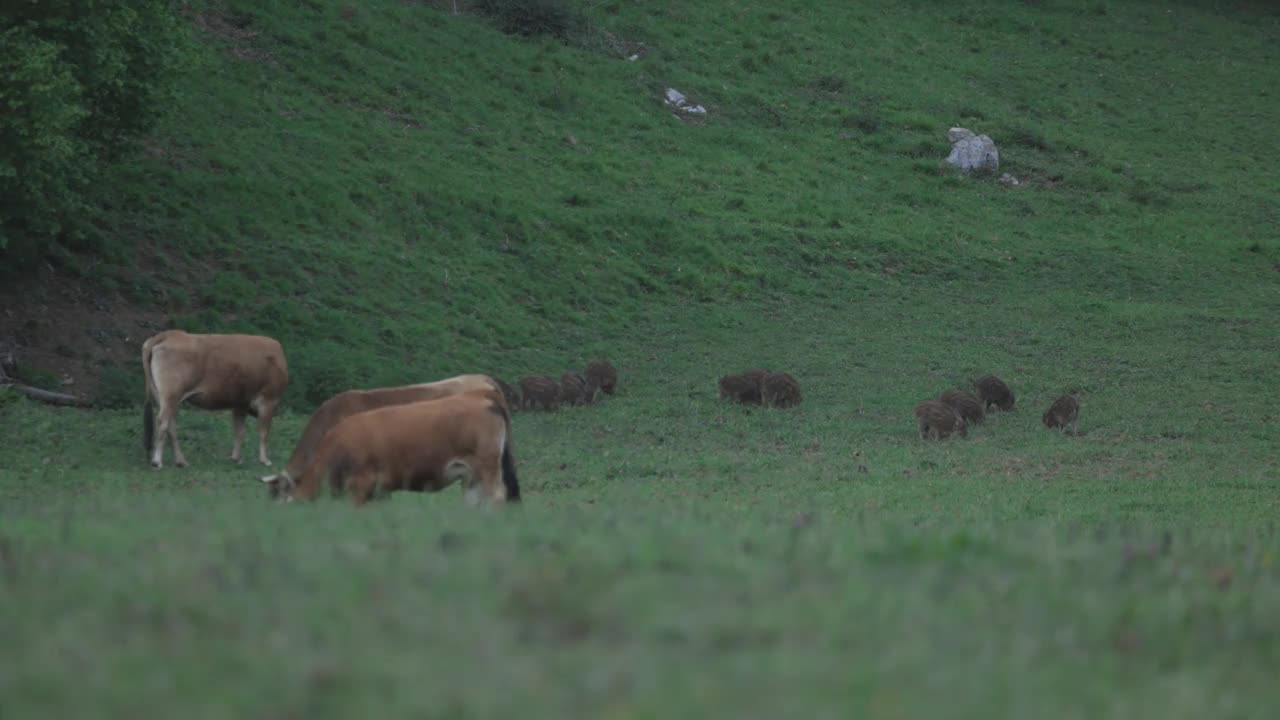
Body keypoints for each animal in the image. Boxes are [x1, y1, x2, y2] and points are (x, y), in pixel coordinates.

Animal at [142, 330, 288, 468]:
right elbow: (263, 432)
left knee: (171, 426)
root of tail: (171, 334)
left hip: (166, 398)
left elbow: (239, 431)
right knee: (163, 422)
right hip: (171, 395)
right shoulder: (268, 400)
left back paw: (181, 461)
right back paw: (157, 461)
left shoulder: (240, 404)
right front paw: (265, 460)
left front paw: (236, 458)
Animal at [262, 386, 522, 504]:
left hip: (487, 467)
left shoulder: (361, 485)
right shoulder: (379, 491)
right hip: (471, 475)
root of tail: (484, 398)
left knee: (497, 497)